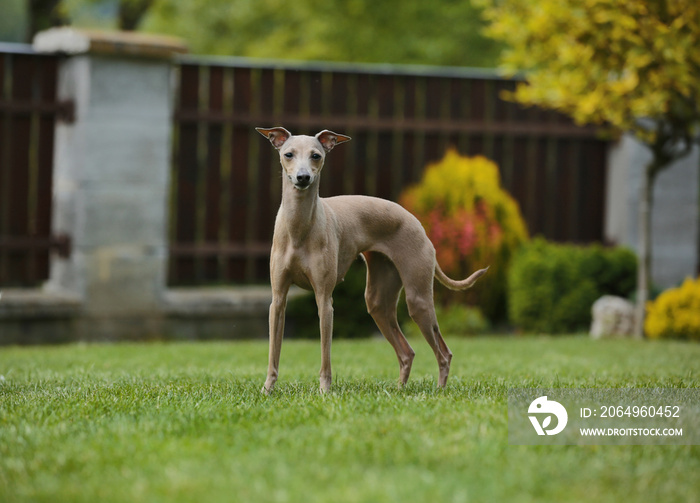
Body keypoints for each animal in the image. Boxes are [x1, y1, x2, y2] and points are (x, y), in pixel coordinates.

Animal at [256, 127, 486, 394]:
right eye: (288, 154)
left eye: (316, 155)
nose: (303, 178)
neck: (299, 228)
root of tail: (417, 223)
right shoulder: (278, 300)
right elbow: (273, 352)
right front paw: (267, 390)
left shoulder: (324, 300)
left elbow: (325, 356)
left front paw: (324, 391)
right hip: (378, 301)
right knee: (407, 352)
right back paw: (399, 390)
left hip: (418, 299)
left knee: (443, 353)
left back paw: (438, 391)